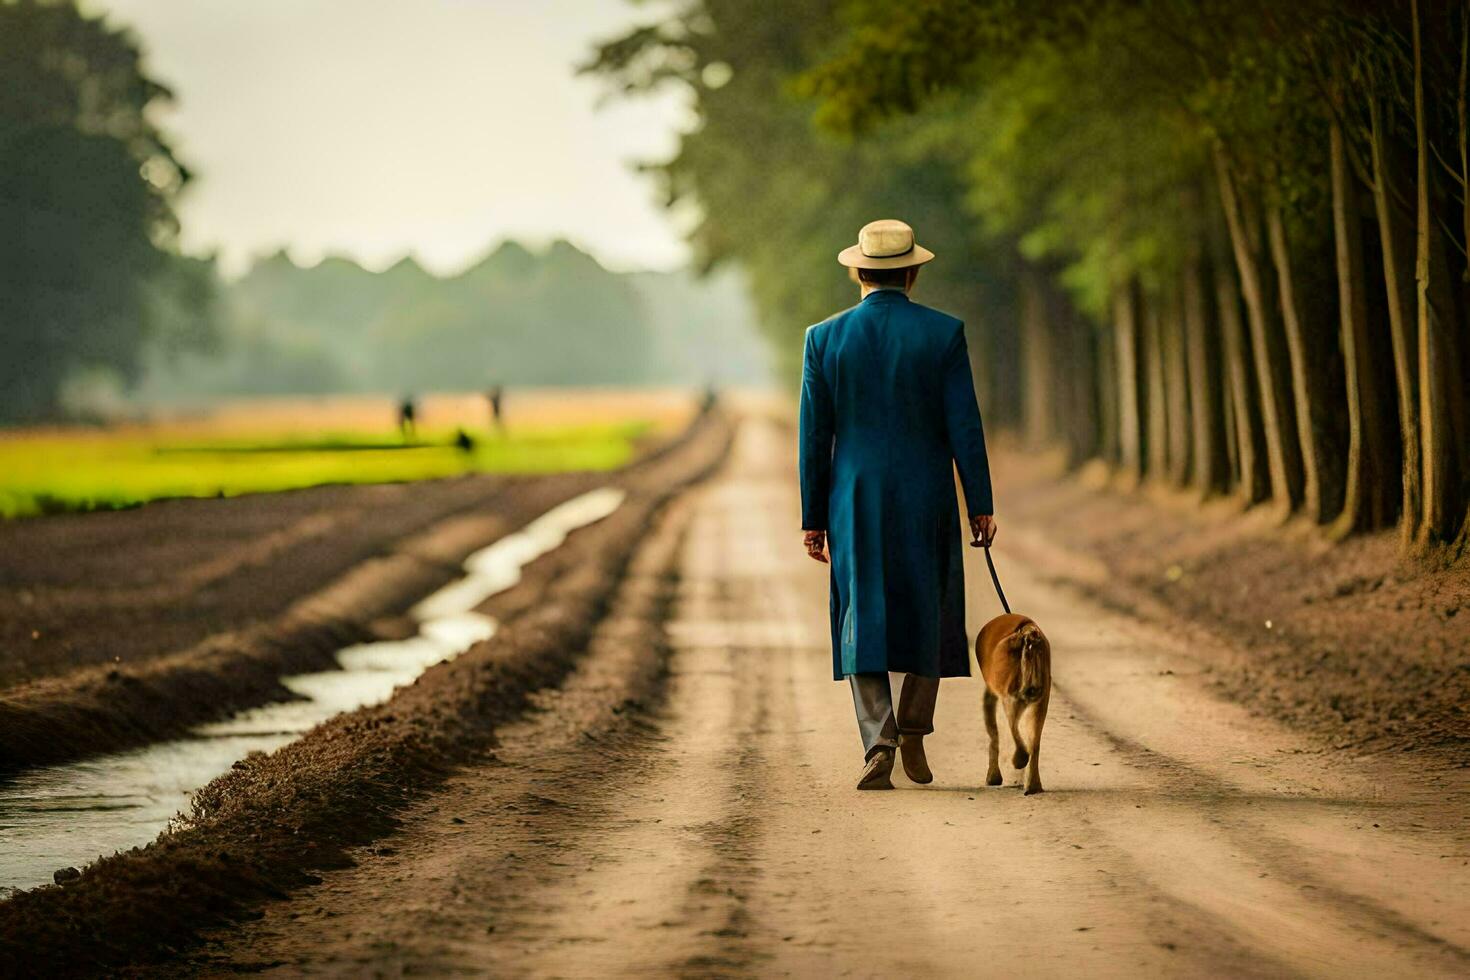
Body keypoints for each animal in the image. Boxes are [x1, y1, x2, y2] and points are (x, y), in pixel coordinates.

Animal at [976, 617, 1046, 793]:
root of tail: (1027, 633)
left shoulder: (992, 696)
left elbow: (993, 735)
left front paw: (993, 777)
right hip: (1040, 702)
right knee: (1034, 744)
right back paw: (1034, 786)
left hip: (1011, 697)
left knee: (1013, 728)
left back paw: (1019, 759)